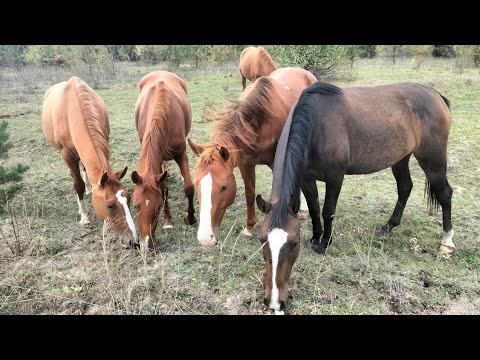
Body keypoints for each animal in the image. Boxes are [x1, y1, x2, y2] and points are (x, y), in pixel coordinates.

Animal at [42, 76, 138, 248]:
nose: (133, 241)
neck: (73, 110)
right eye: (110, 205)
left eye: (129, 198)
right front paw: (84, 216)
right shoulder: (67, 155)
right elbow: (77, 184)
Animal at [130, 71, 196, 249]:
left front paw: (191, 218)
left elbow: (189, 188)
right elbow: (163, 188)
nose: (146, 244)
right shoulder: (157, 160)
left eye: (157, 207)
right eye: (135, 206)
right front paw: (168, 221)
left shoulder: (181, 154)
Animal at [188, 67, 318, 248]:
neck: (259, 122)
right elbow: (250, 194)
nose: (206, 238)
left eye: (224, 187)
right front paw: (249, 227)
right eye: (197, 184)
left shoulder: (277, 163)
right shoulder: (245, 163)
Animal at [255, 81, 454, 310]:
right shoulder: (306, 179)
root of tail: (435, 95)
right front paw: (315, 237)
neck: (317, 125)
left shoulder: (335, 177)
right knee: (405, 187)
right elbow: (314, 208)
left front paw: (324, 243)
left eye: (293, 243)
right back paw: (389, 225)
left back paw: (446, 242)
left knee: (445, 194)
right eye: (262, 240)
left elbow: (327, 210)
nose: (274, 302)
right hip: (401, 158)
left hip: (432, 159)